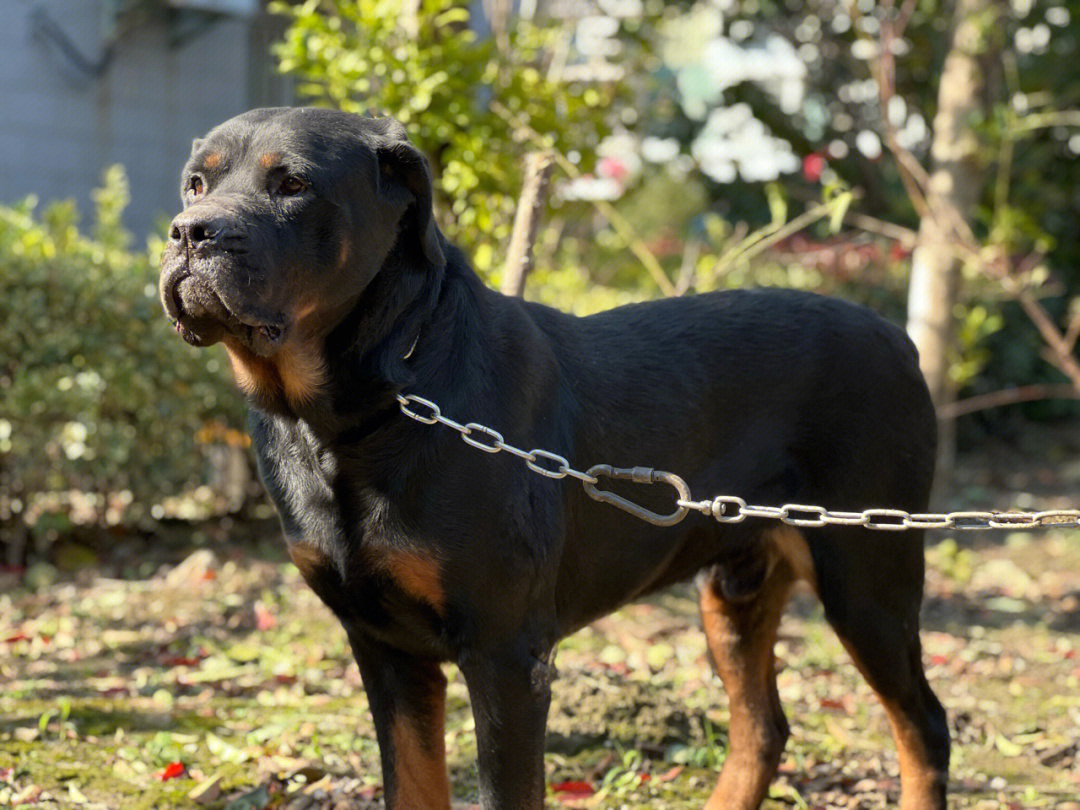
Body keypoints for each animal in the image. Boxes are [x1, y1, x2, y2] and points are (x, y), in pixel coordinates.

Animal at [157, 109, 946, 810]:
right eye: (195, 184)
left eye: (292, 183)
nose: (190, 232)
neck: (358, 408)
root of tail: (898, 338)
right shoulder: (385, 647)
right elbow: (412, 785)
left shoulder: (506, 653)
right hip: (734, 588)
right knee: (764, 726)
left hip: (866, 572)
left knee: (923, 725)